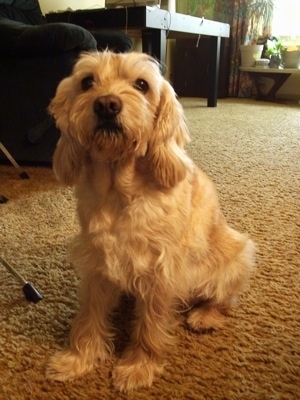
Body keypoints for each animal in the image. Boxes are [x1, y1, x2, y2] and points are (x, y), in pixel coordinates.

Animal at [46, 51, 255, 392]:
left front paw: (139, 366)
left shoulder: (161, 271)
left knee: (225, 300)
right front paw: (79, 358)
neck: (119, 192)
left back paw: (204, 316)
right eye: (87, 81)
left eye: (142, 85)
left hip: (240, 255)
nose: (107, 104)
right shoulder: (97, 263)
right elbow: (89, 315)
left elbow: (150, 325)